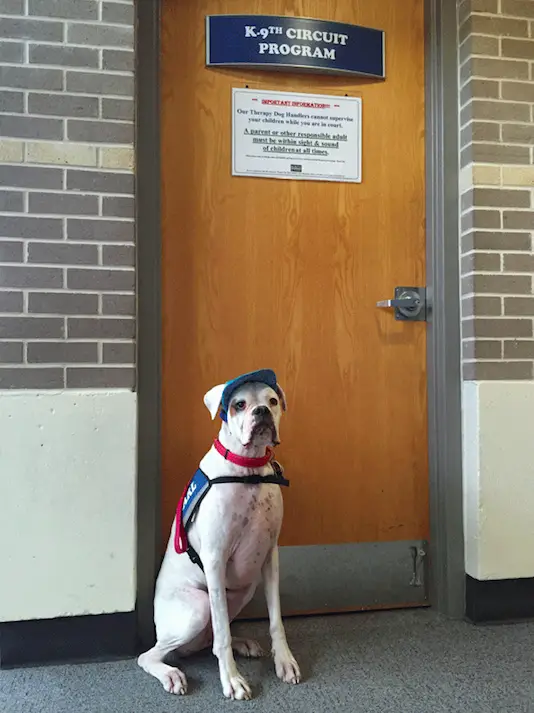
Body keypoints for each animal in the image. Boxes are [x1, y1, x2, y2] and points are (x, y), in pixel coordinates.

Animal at [138, 370, 302, 700]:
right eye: (239, 404)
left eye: (272, 401)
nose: (261, 411)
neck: (249, 471)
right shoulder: (215, 558)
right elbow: (222, 636)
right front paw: (233, 680)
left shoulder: (270, 557)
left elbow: (275, 619)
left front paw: (284, 660)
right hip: (198, 607)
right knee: (152, 654)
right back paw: (171, 674)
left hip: (244, 591)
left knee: (209, 636)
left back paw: (243, 643)